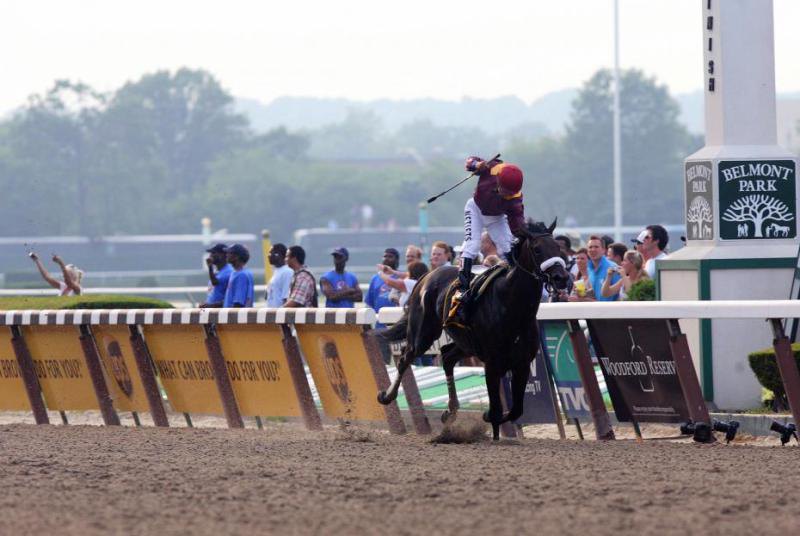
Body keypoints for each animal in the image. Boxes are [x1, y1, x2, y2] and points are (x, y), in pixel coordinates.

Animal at [376, 219, 568, 440]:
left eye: (558, 248)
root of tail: (426, 275)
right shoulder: (492, 364)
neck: (512, 306)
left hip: (466, 343)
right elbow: (497, 410)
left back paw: (450, 410)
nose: (561, 278)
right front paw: (492, 426)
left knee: (447, 356)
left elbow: (516, 410)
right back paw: (386, 395)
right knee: (406, 357)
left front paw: (488, 419)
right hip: (423, 334)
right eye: (537, 249)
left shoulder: (522, 364)